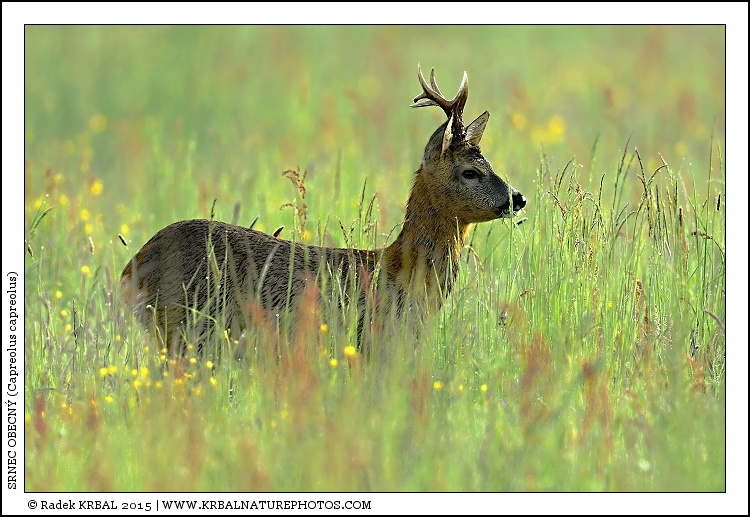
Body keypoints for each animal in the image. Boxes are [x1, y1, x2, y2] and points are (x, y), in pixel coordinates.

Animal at [120, 64, 526, 357]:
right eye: (470, 171)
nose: (518, 198)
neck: (399, 273)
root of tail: (132, 268)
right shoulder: (370, 341)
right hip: (187, 329)